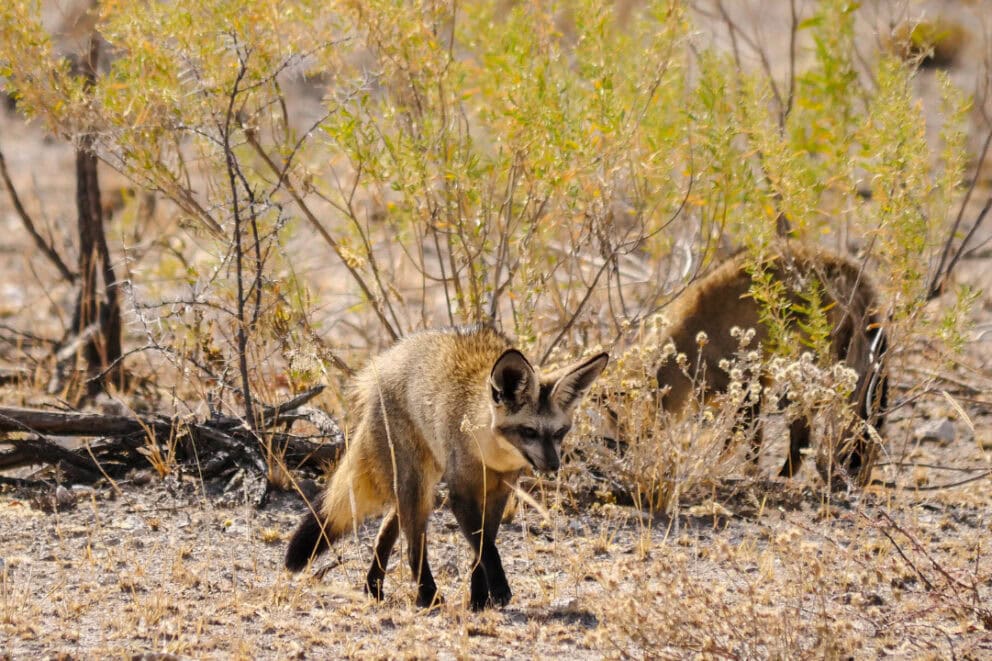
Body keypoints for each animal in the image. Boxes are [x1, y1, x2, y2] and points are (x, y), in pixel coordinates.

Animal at [284, 326, 608, 610]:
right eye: (529, 432)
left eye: (559, 433)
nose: (553, 465)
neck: (490, 453)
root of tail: (387, 358)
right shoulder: (461, 493)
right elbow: (485, 548)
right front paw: (498, 590)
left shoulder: (499, 491)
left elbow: (483, 548)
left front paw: (479, 600)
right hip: (418, 485)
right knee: (413, 546)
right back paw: (427, 596)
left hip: (421, 487)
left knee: (386, 532)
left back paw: (373, 588)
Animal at [653, 240, 887, 482]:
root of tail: (844, 265)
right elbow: (751, 437)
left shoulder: (746, 385)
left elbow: (743, 438)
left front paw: (730, 468)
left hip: (806, 372)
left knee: (804, 435)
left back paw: (786, 475)